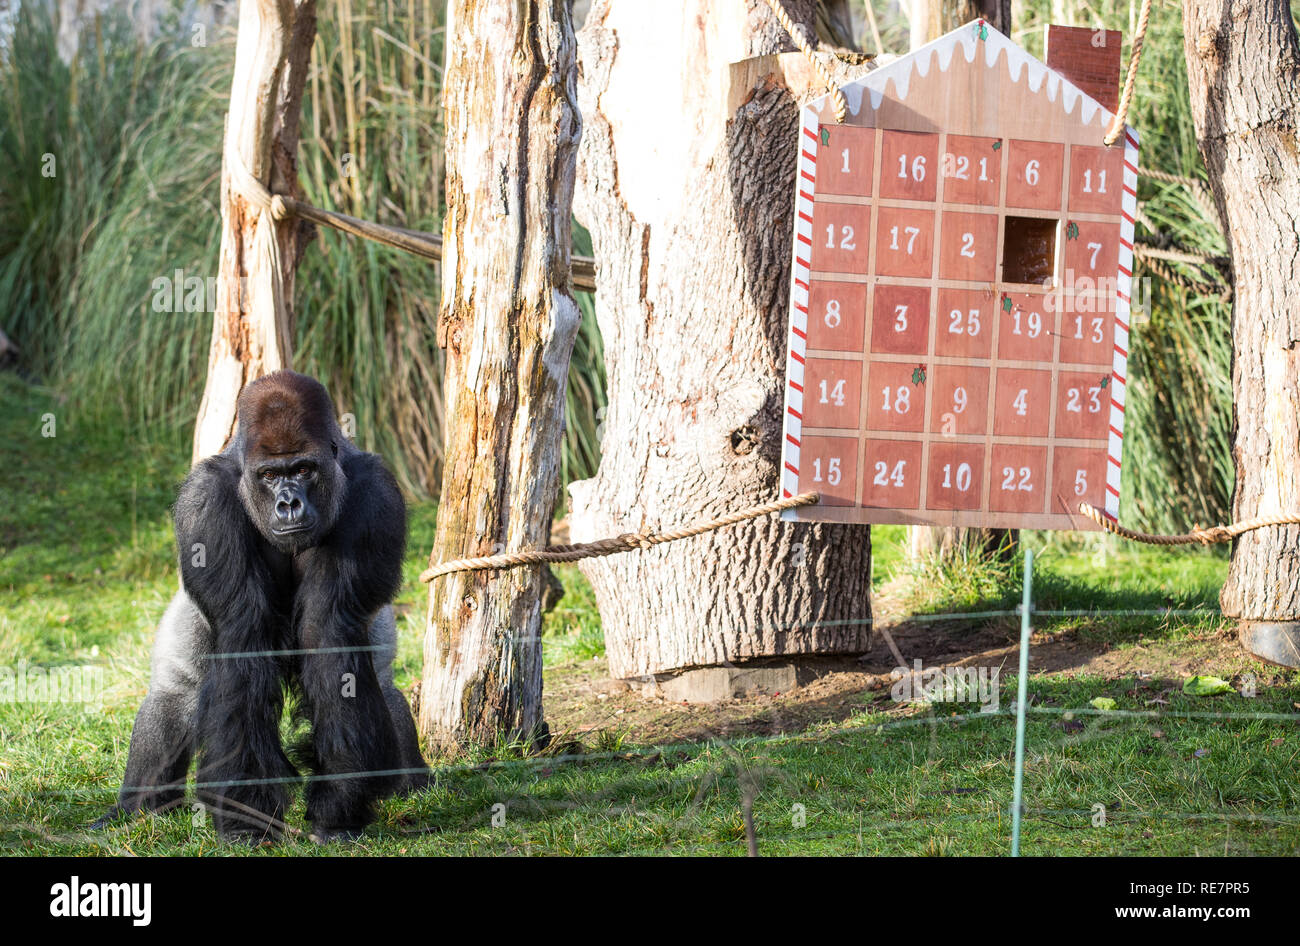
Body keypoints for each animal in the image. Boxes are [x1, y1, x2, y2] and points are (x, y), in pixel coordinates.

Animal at [98, 369, 431, 842]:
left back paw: (412, 784)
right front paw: (247, 815)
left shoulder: (375, 493)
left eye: (304, 470)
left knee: (381, 683)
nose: (288, 503)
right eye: (270, 474)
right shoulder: (204, 501)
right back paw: (137, 807)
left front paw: (339, 806)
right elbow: (243, 637)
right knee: (176, 690)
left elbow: (330, 636)